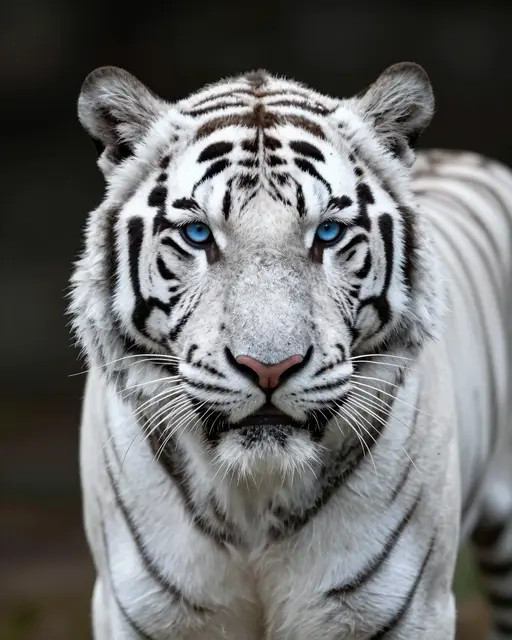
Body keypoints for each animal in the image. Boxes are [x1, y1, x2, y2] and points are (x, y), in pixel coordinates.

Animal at [69, 61, 512, 639]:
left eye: (328, 233)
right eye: (198, 234)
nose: (269, 368)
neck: (253, 499)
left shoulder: (405, 609)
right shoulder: (141, 612)